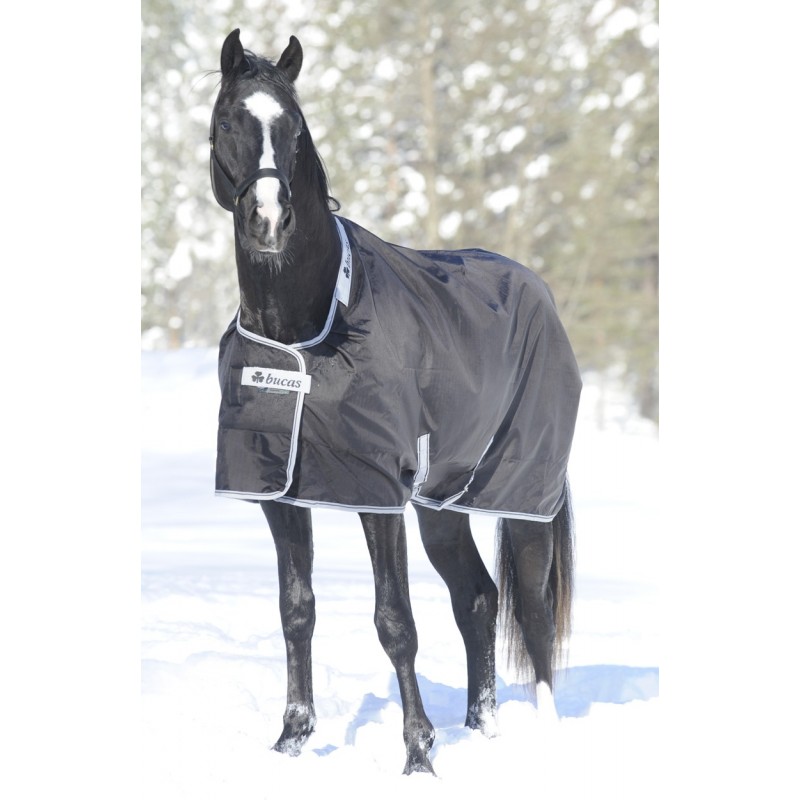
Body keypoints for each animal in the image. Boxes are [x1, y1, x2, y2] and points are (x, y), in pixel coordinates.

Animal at [207, 29, 582, 775]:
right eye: (230, 120)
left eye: (295, 128)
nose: (269, 220)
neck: (304, 327)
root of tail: (539, 292)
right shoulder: (278, 492)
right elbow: (296, 610)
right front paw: (291, 741)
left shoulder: (375, 493)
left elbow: (395, 622)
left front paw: (417, 755)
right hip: (441, 505)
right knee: (477, 599)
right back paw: (482, 729)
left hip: (522, 497)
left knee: (528, 610)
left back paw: (541, 740)